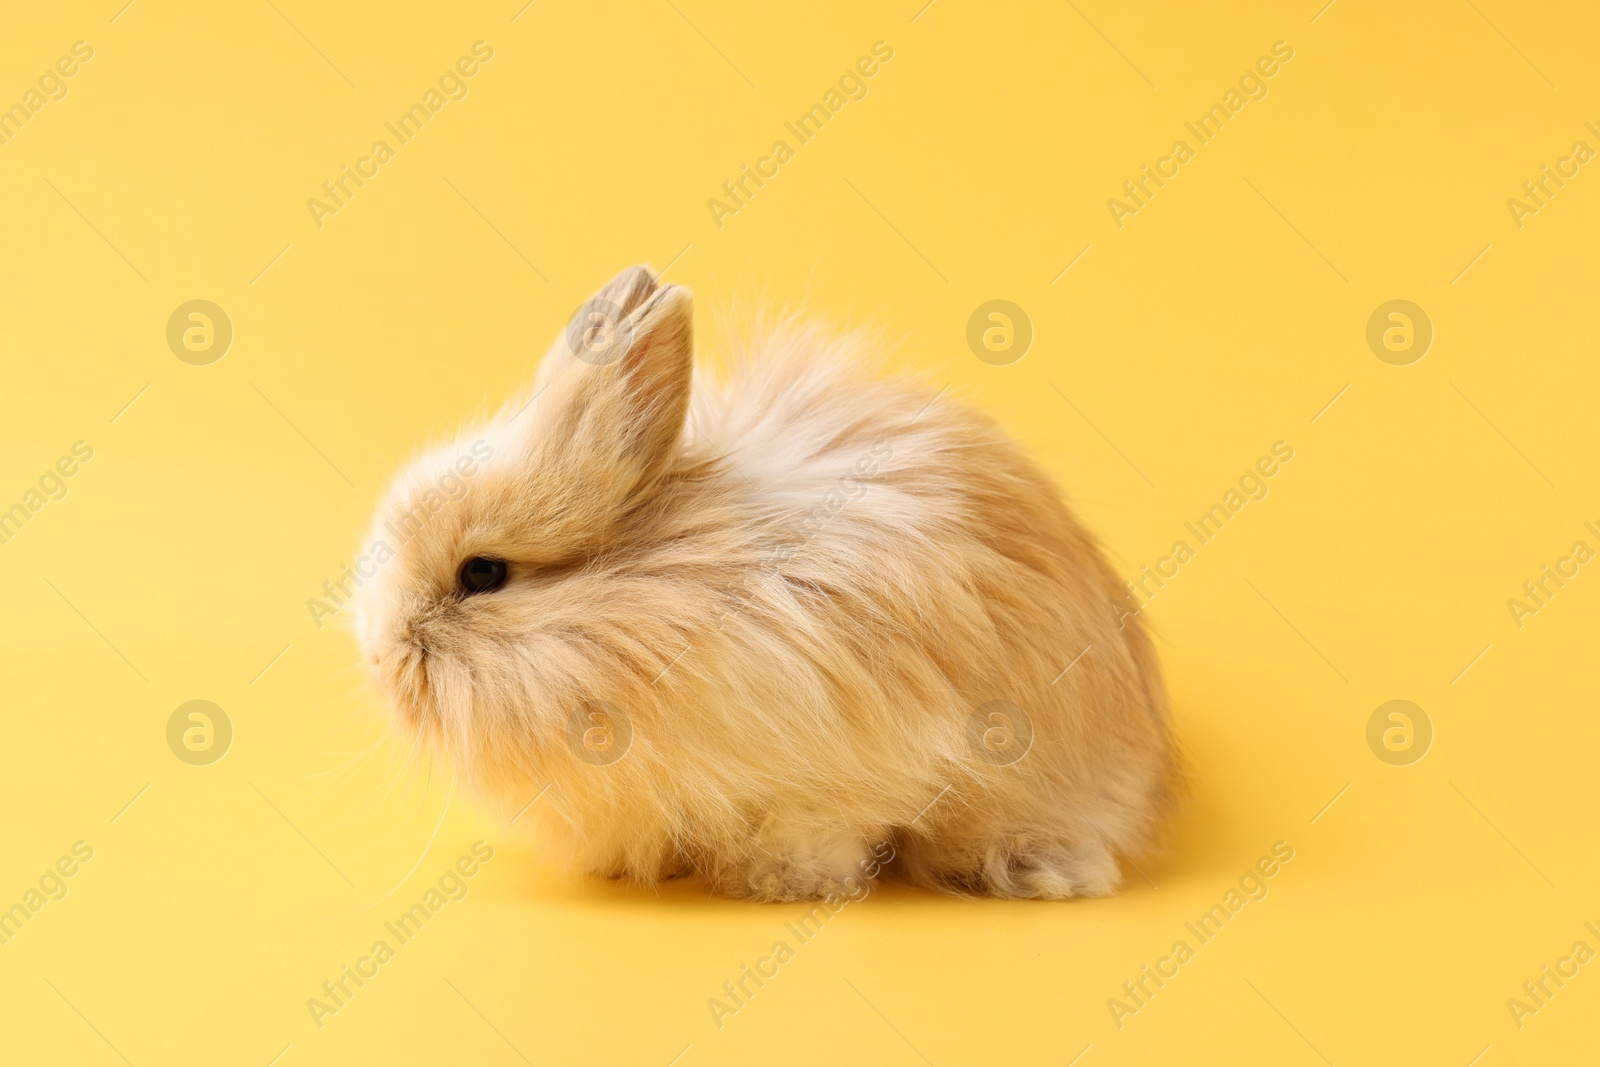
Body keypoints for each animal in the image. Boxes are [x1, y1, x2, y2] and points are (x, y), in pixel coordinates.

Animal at [356, 265, 1184, 902]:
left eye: (483, 573)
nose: (380, 659)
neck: (646, 598)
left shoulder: (833, 775)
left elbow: (819, 835)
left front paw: (779, 884)